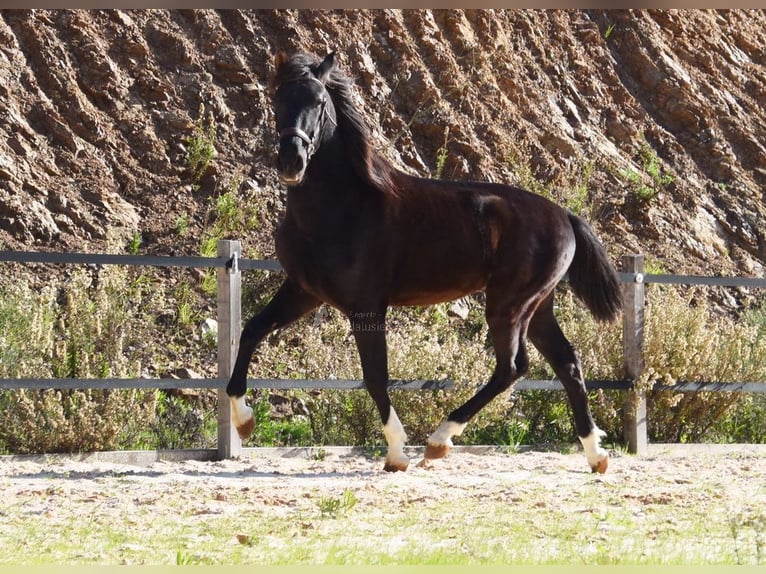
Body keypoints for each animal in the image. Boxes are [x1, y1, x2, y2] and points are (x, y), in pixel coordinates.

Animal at [228, 51, 624, 474]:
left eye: (319, 103)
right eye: (278, 99)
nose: (293, 160)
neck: (341, 206)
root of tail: (564, 214)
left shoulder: (366, 307)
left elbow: (375, 376)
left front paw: (397, 453)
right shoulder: (303, 292)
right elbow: (251, 330)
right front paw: (244, 421)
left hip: (509, 305)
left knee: (512, 368)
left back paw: (438, 440)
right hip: (538, 308)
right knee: (567, 364)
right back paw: (596, 454)